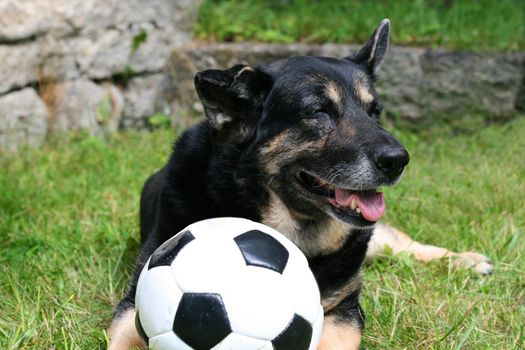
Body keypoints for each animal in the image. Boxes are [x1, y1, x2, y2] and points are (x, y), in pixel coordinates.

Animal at [108, 19, 494, 350]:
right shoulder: (134, 302)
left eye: (374, 112)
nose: (398, 160)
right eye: (318, 112)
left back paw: (465, 261)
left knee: (402, 244)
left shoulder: (343, 311)